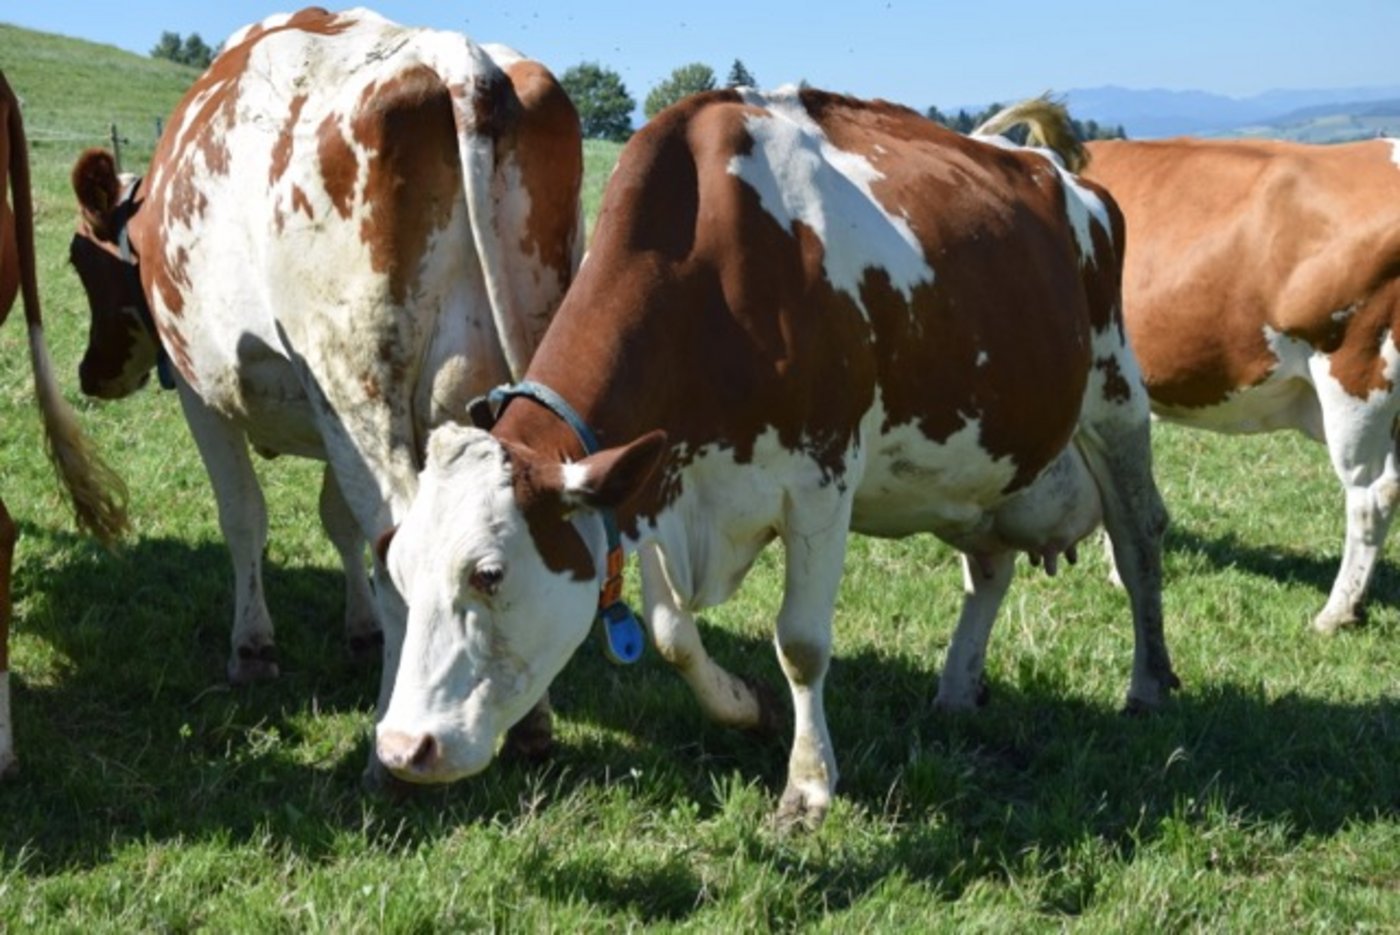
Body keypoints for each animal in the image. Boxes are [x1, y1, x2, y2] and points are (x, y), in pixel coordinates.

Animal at [66, 8, 582, 768]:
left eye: (80, 260)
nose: (89, 374)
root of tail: (460, 60)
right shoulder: (327, 414)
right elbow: (340, 522)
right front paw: (360, 631)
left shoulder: (206, 394)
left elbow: (244, 516)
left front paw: (253, 648)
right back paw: (527, 724)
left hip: (356, 388)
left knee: (407, 542)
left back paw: (389, 749)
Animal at [371, 89, 1177, 827]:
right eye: (397, 570)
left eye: (489, 574)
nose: (402, 747)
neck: (718, 266)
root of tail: (1054, 173)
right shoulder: (655, 482)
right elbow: (670, 635)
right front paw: (747, 706)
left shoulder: (821, 481)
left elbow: (802, 644)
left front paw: (809, 785)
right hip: (978, 461)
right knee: (989, 567)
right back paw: (956, 687)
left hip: (1116, 399)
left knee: (1138, 544)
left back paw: (1147, 686)